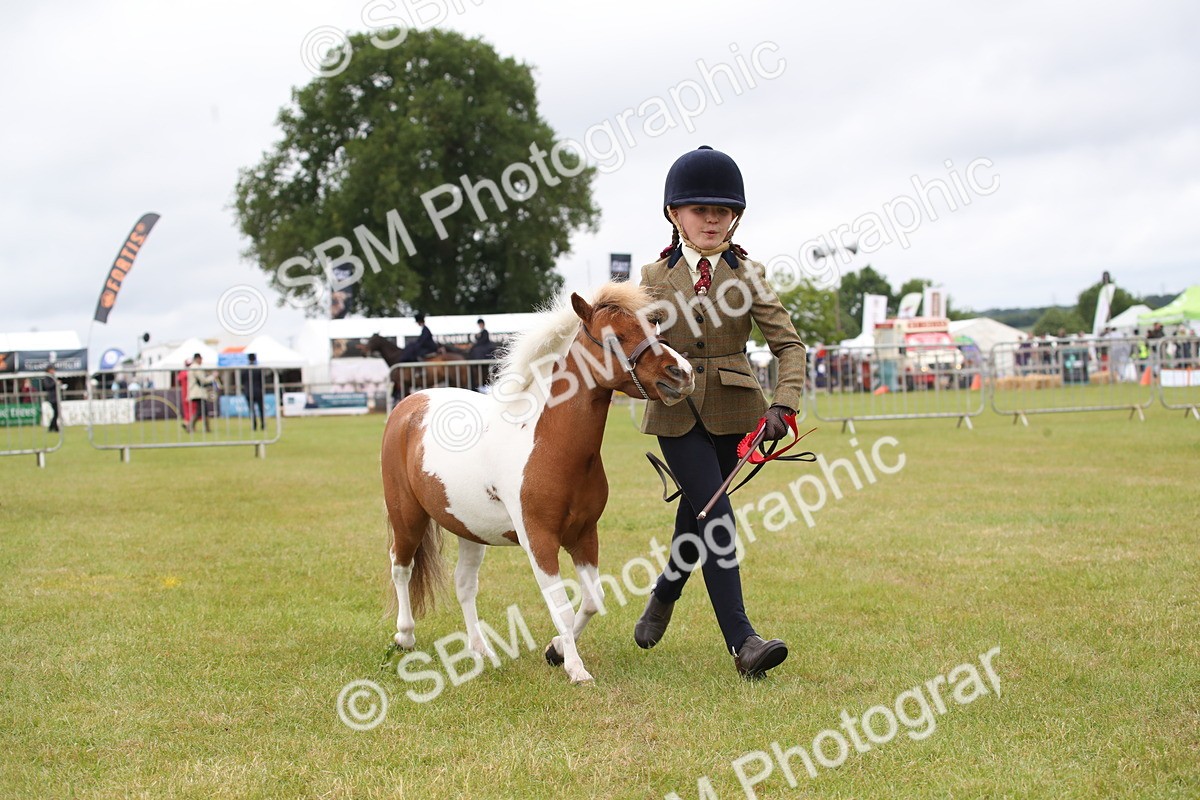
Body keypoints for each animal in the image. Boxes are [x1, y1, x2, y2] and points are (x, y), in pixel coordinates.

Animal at [380, 283, 694, 684]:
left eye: (653, 328)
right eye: (614, 338)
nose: (681, 373)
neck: (548, 443)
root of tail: (410, 404)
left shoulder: (584, 535)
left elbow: (592, 601)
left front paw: (556, 650)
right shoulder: (540, 540)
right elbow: (561, 606)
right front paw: (576, 669)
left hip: (469, 529)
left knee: (464, 585)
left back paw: (481, 649)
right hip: (407, 516)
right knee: (401, 568)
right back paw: (404, 636)